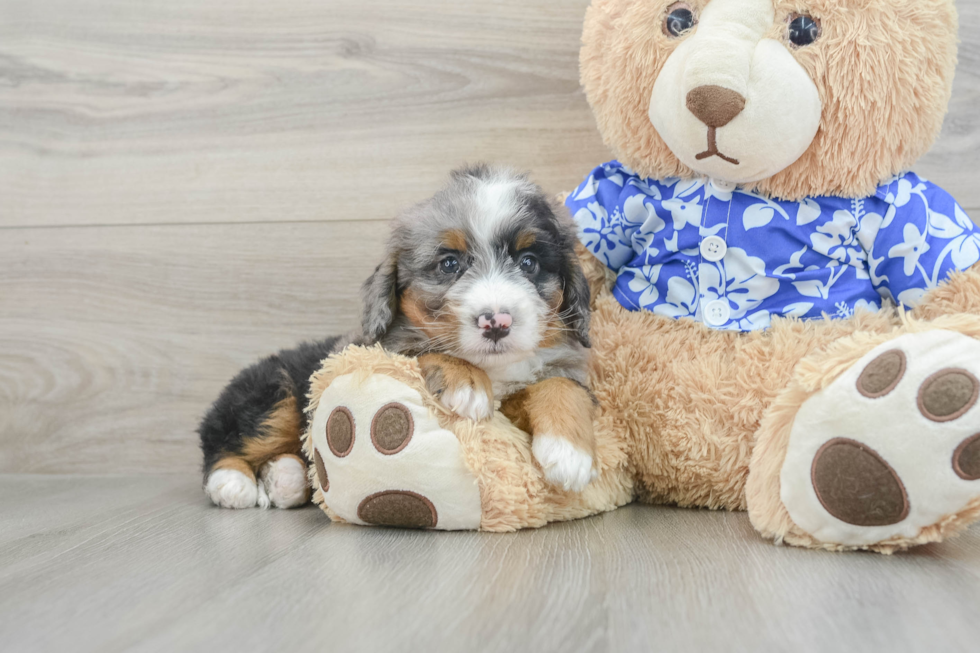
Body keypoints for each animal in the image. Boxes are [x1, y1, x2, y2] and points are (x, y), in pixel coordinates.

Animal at [200, 164, 596, 510]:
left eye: (529, 262)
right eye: (449, 264)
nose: (496, 322)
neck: (493, 369)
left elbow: (561, 386)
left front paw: (570, 454)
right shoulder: (371, 348)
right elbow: (419, 349)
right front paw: (466, 382)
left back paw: (286, 478)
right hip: (272, 391)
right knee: (223, 441)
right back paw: (233, 483)